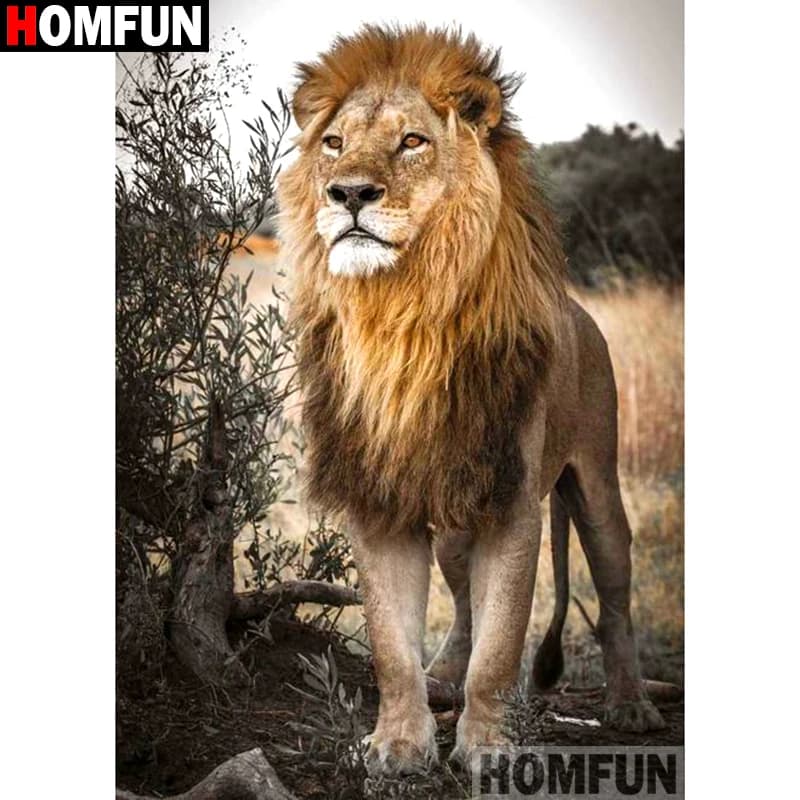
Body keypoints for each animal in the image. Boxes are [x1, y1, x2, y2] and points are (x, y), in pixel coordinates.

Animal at [278, 25, 666, 776]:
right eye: (334, 142)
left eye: (412, 142)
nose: (347, 193)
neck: (402, 314)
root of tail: (581, 310)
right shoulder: (381, 500)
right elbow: (393, 646)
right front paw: (399, 742)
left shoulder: (512, 508)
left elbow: (502, 642)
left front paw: (486, 746)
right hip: (459, 518)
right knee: (459, 606)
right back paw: (441, 679)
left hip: (596, 487)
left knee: (614, 598)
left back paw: (630, 703)